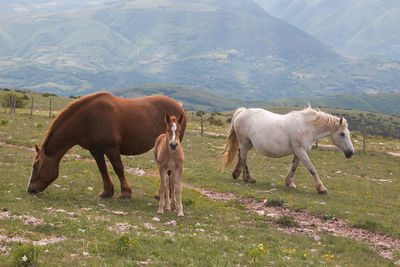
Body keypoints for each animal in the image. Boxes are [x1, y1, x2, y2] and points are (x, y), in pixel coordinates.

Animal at [28, 92, 188, 199]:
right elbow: (103, 170)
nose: (31, 189)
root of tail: (180, 108)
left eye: (36, 165)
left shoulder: (112, 149)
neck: (87, 119)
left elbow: (118, 168)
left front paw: (125, 192)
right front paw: (107, 192)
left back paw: (160, 194)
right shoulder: (96, 150)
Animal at [220, 107, 354, 195]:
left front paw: (289, 183)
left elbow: (293, 167)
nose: (351, 152)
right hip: (245, 142)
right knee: (243, 157)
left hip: (248, 144)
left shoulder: (298, 152)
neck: (307, 127)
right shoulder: (300, 151)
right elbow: (312, 169)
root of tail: (242, 112)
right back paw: (248, 178)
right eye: (342, 134)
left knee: (240, 155)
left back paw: (236, 174)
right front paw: (321, 188)